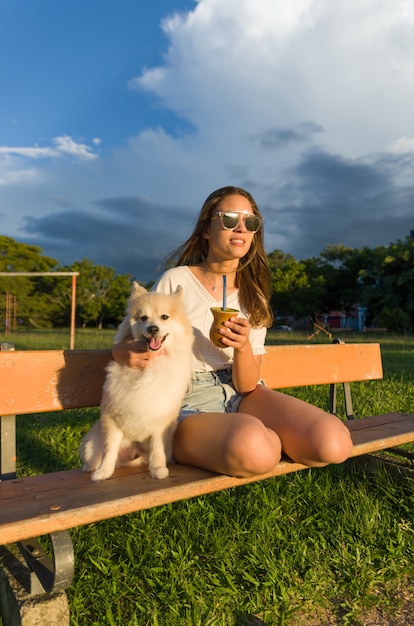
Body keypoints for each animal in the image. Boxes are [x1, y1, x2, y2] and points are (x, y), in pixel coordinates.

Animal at [80, 280, 194, 480]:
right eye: (143, 318)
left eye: (164, 317)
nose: (153, 328)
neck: (149, 366)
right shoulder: (112, 419)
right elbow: (109, 450)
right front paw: (104, 472)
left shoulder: (161, 422)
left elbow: (157, 448)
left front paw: (158, 469)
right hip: (90, 446)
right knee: (96, 457)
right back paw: (92, 468)